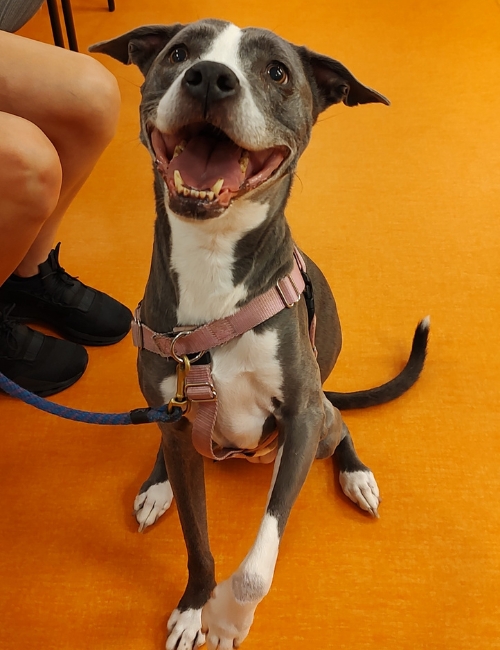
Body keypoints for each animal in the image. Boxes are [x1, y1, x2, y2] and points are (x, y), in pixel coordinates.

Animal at [89, 20, 426, 648]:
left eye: (277, 72)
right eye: (179, 52)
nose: (209, 78)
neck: (213, 257)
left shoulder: (300, 418)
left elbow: (254, 570)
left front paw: (226, 620)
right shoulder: (179, 421)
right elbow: (197, 540)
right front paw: (195, 607)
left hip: (320, 420)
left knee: (339, 426)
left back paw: (356, 476)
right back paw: (157, 486)